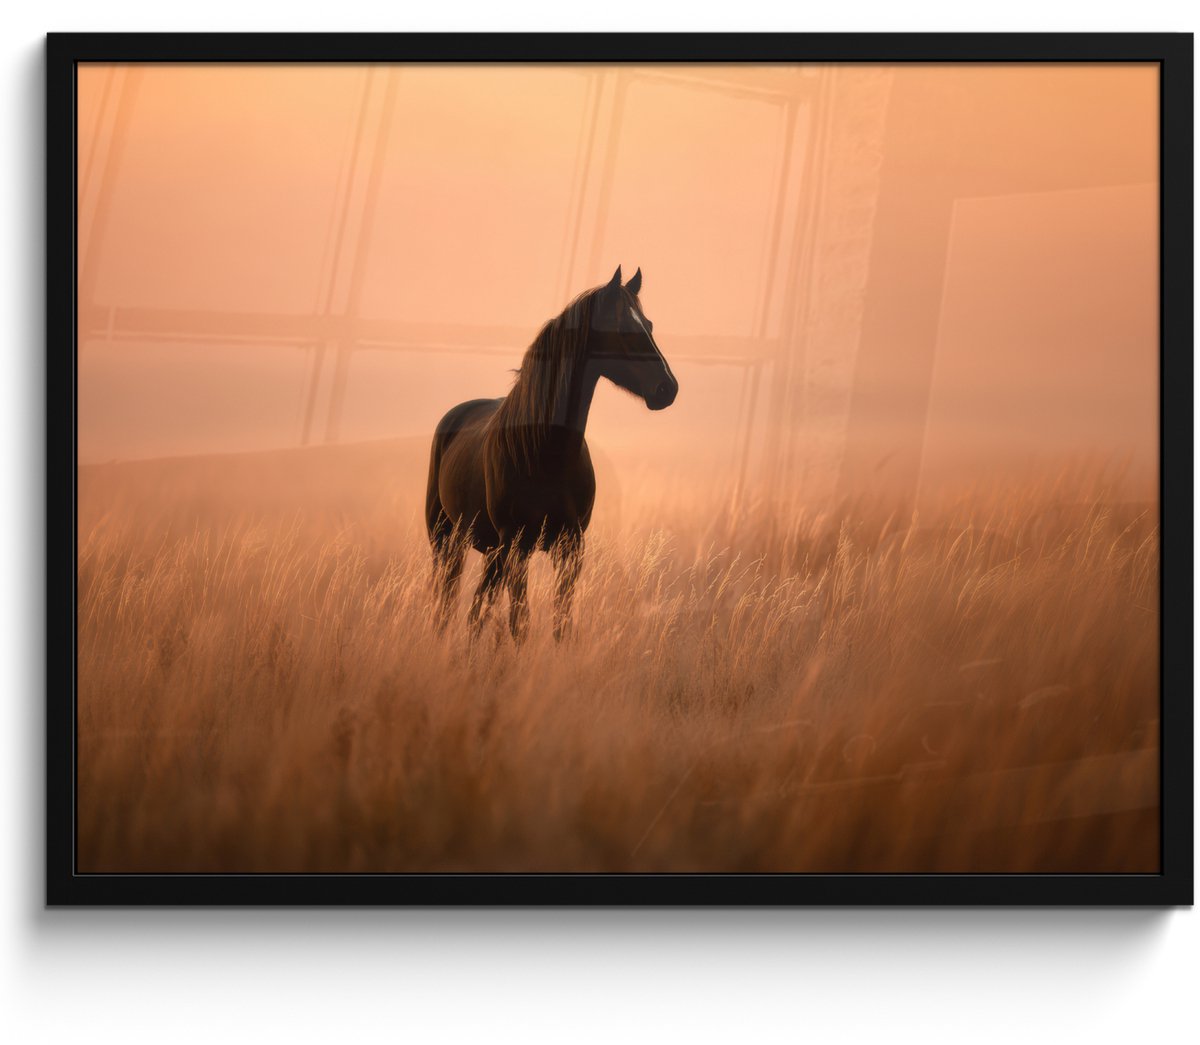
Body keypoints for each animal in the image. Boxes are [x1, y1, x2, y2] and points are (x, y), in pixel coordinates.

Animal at [425, 266, 678, 642]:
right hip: (448, 540)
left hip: (490, 551)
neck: (546, 453)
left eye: (648, 324)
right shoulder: (517, 546)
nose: (667, 388)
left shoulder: (570, 547)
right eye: (621, 328)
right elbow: (520, 622)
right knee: (449, 603)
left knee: (476, 609)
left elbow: (561, 622)